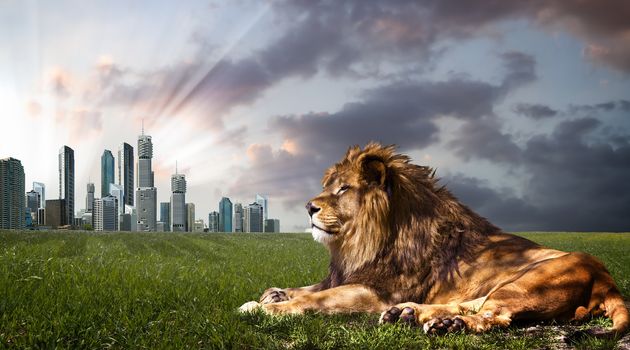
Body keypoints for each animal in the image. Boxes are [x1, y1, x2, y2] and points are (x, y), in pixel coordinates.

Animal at [239, 143, 628, 336]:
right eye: (328, 186)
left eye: (344, 189)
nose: (308, 207)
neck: (361, 241)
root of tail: (607, 280)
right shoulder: (352, 276)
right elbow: (311, 287)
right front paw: (274, 293)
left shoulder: (375, 292)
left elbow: (316, 299)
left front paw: (265, 307)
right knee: (473, 304)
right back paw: (413, 314)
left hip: (527, 283)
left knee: (492, 316)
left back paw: (443, 324)